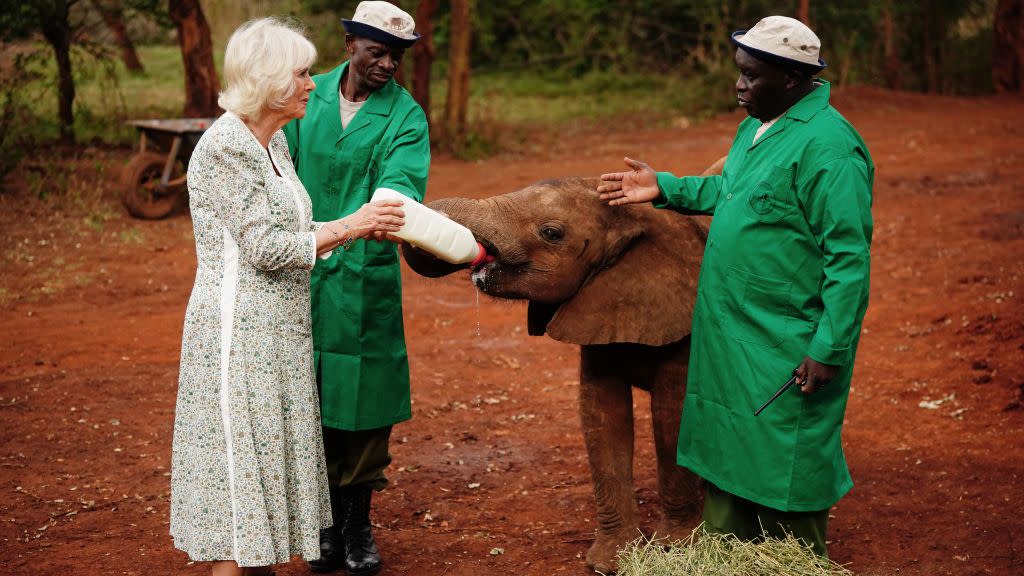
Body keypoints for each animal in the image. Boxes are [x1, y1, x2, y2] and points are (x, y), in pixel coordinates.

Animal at [403, 177, 708, 569]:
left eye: (552, 233)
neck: (635, 216)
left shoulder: (683, 322)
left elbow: (671, 415)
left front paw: (675, 549)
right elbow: (602, 414)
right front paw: (610, 562)